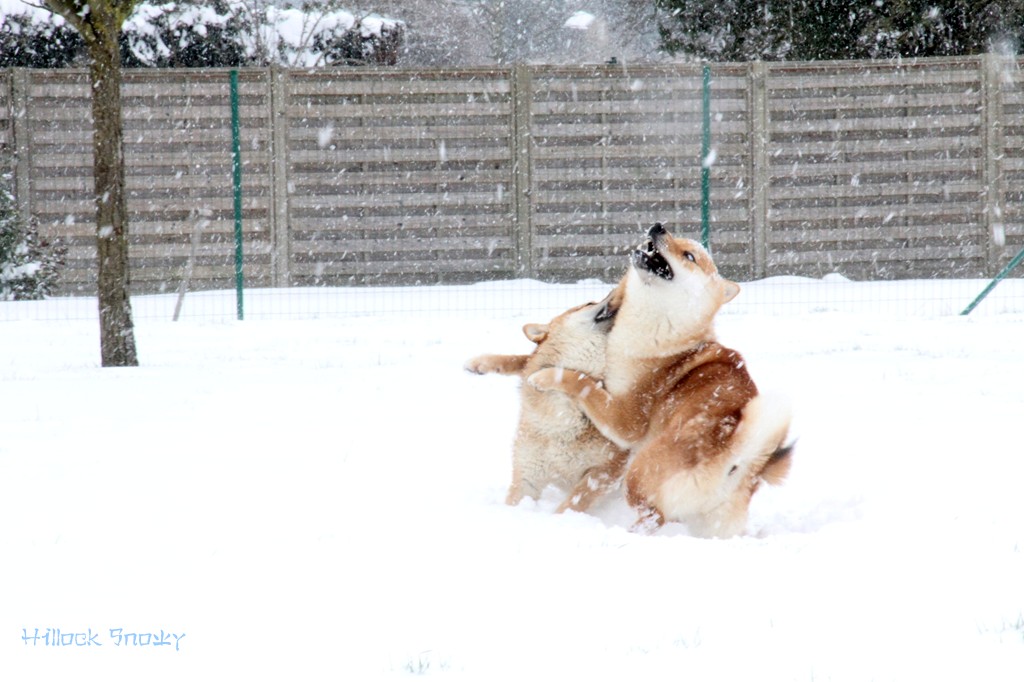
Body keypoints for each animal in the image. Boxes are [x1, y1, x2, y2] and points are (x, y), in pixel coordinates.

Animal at [468, 292, 626, 509]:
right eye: (589, 303)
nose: (614, 292)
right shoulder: (527, 475)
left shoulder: (605, 471)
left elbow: (570, 505)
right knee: (524, 359)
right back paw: (479, 364)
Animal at [528, 225, 790, 532]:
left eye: (689, 255)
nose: (658, 227)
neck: (663, 327)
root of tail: (734, 459)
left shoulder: (626, 420)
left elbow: (582, 382)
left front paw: (545, 376)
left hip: (639, 472)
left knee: (653, 517)